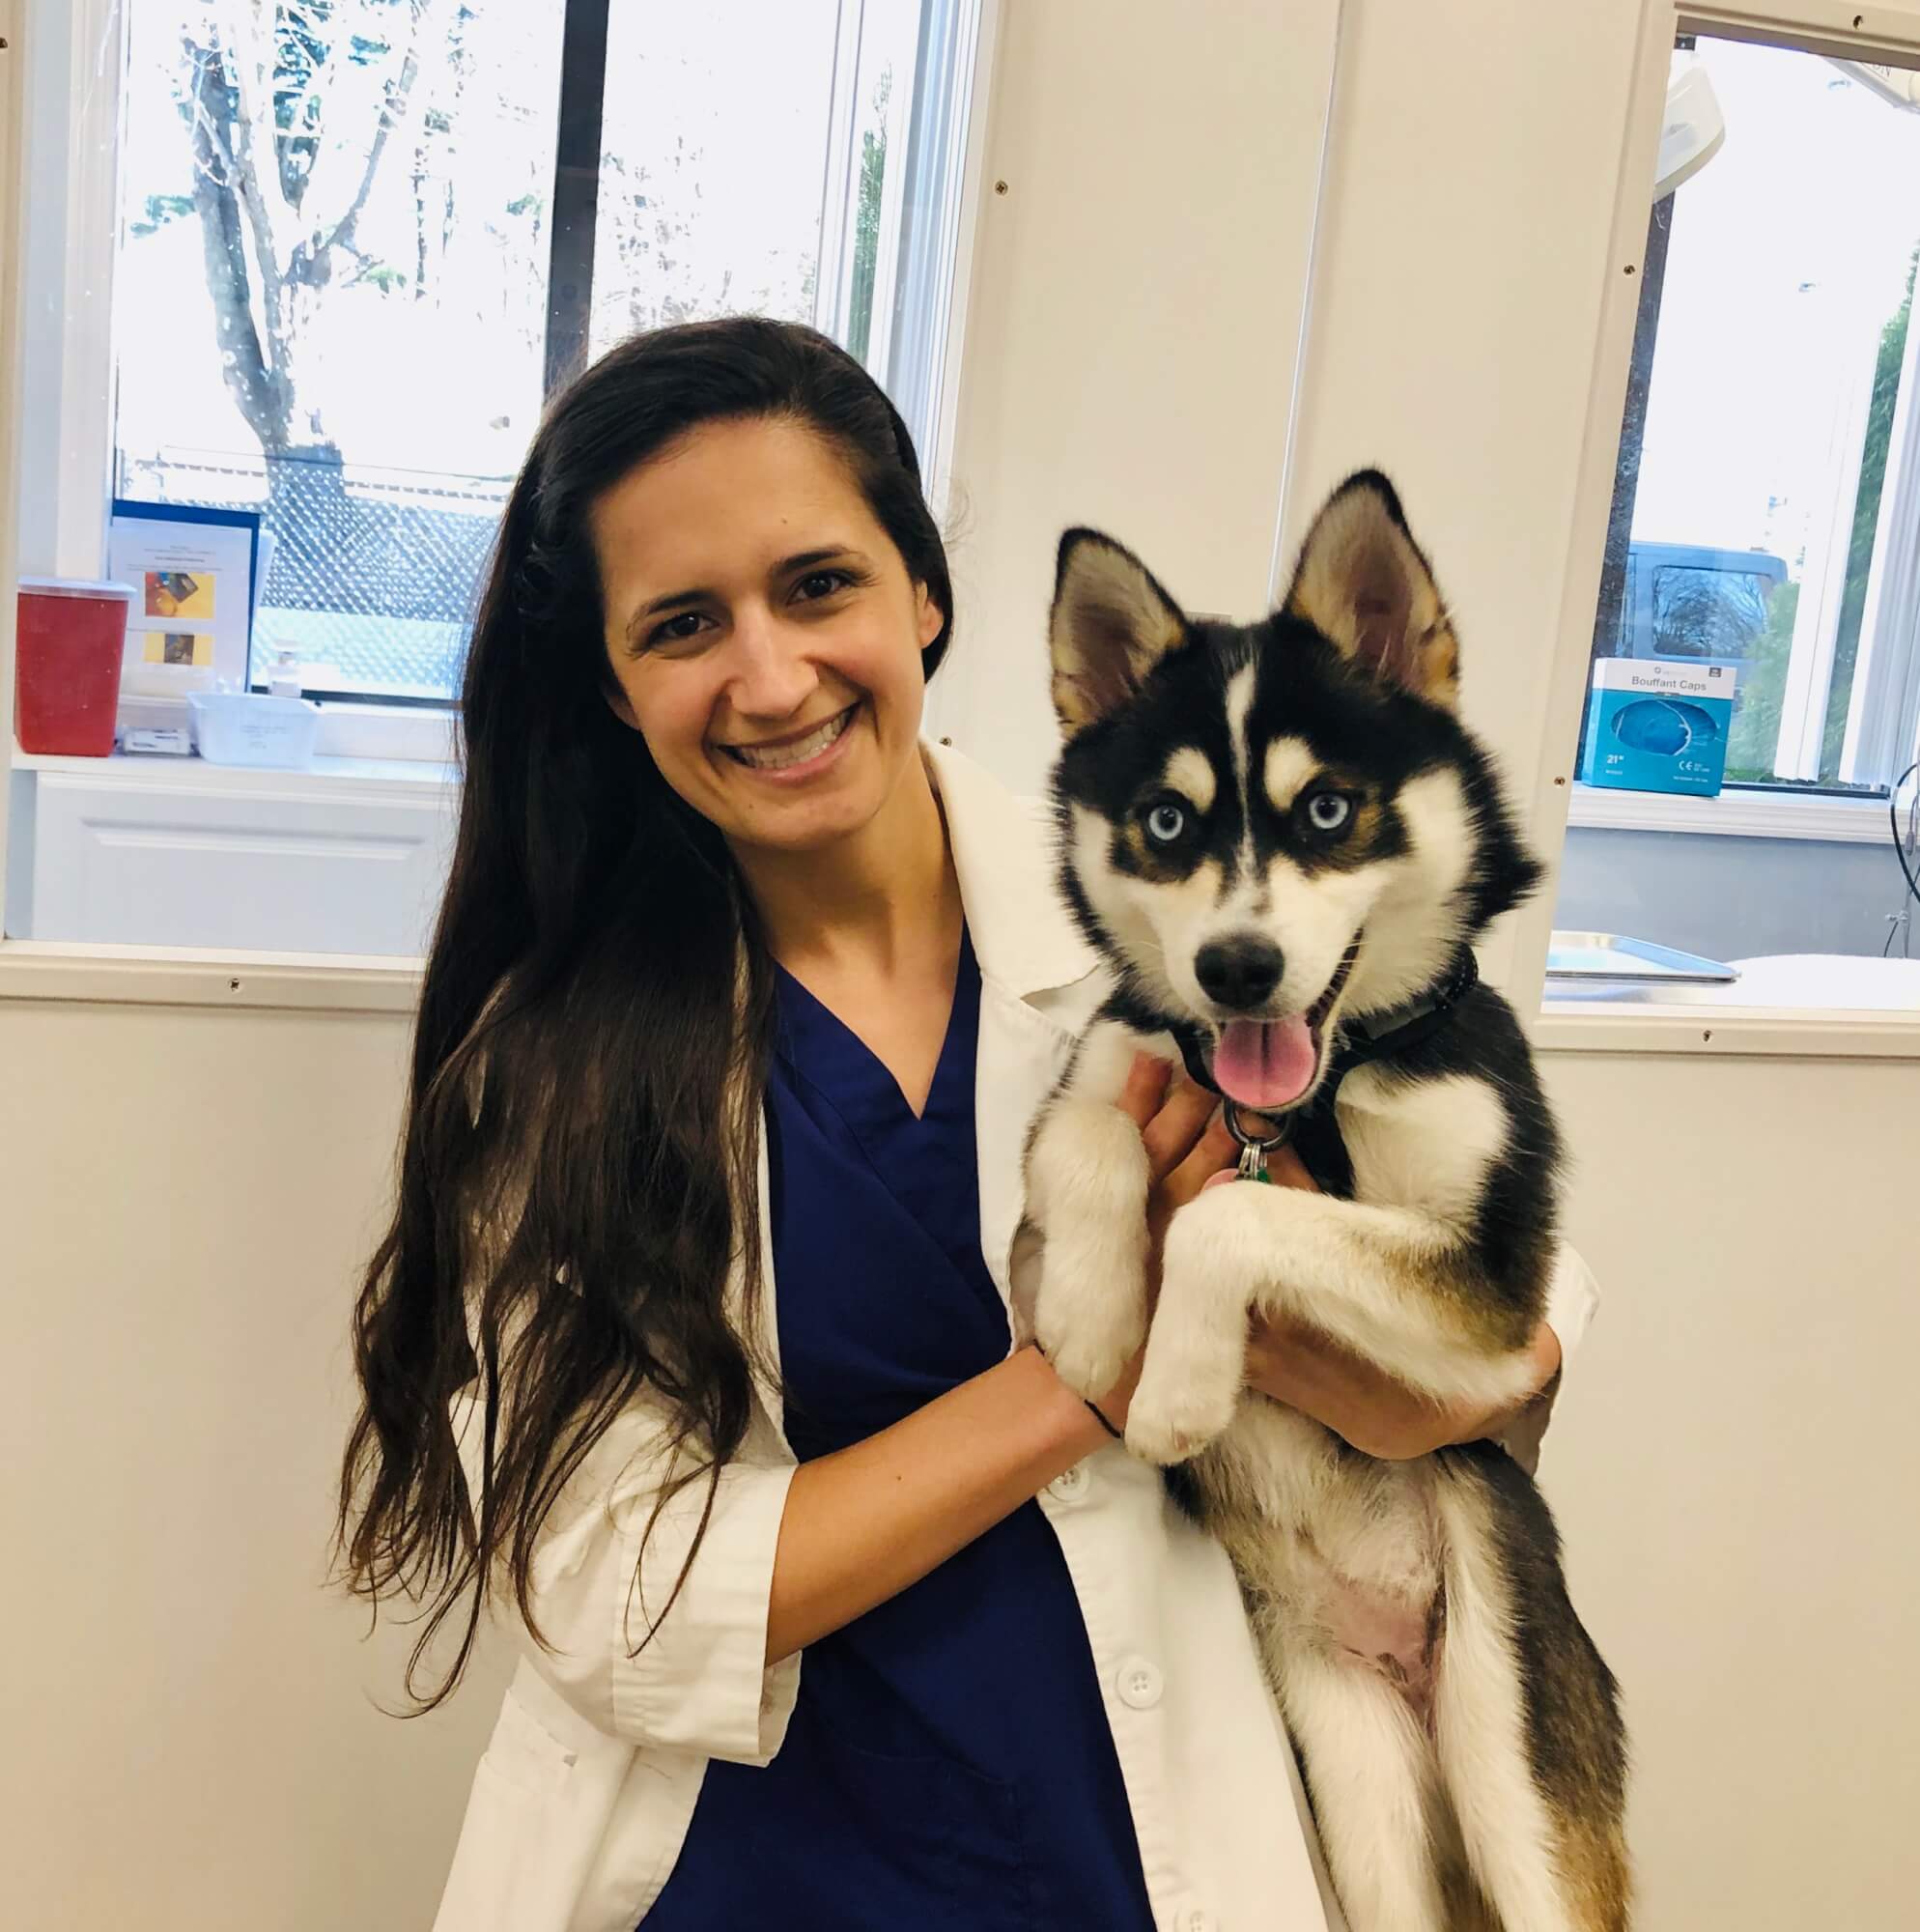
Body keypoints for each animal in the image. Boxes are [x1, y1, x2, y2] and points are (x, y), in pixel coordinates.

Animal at [1023, 473, 1629, 1932]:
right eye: (1166, 824)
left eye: (1328, 812)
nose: (1237, 969)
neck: (1310, 1089)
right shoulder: (1113, 1064)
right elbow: (1087, 1140)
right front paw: (1089, 1311)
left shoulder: (1490, 1300)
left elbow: (1233, 1215)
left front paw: (1178, 1382)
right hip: (1354, 1772)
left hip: (1513, 1748)